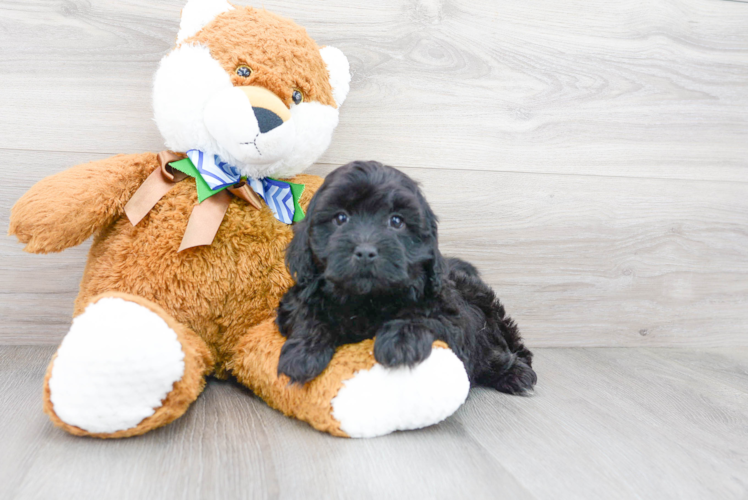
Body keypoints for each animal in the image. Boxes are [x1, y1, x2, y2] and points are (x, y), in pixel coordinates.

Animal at [278, 160, 536, 394]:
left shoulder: (450, 314)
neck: (368, 299)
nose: (365, 251)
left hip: (486, 304)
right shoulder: (295, 299)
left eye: (396, 221)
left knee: (498, 341)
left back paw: (516, 372)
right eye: (341, 218)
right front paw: (303, 352)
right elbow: (306, 314)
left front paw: (400, 342)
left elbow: (424, 315)